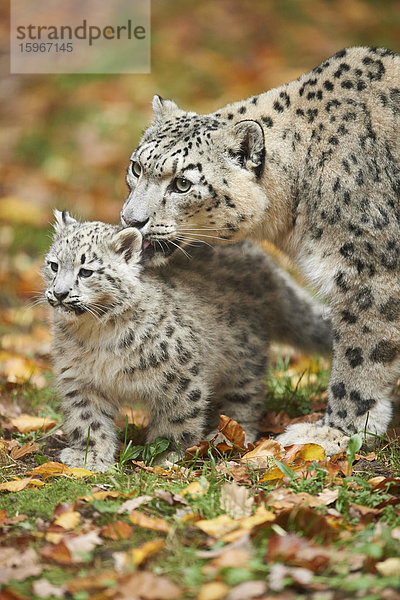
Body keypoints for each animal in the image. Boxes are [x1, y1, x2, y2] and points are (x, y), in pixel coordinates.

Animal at [43, 212, 332, 474]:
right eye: (54, 265)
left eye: (86, 271)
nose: (59, 293)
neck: (96, 333)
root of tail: (263, 261)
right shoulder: (80, 380)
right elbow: (88, 421)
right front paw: (90, 458)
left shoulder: (179, 376)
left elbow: (178, 419)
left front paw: (167, 456)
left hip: (243, 360)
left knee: (246, 398)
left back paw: (231, 436)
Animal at [121, 47, 400, 452]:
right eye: (136, 166)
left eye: (182, 184)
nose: (131, 219)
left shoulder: (370, 271)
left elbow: (360, 355)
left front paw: (333, 431)